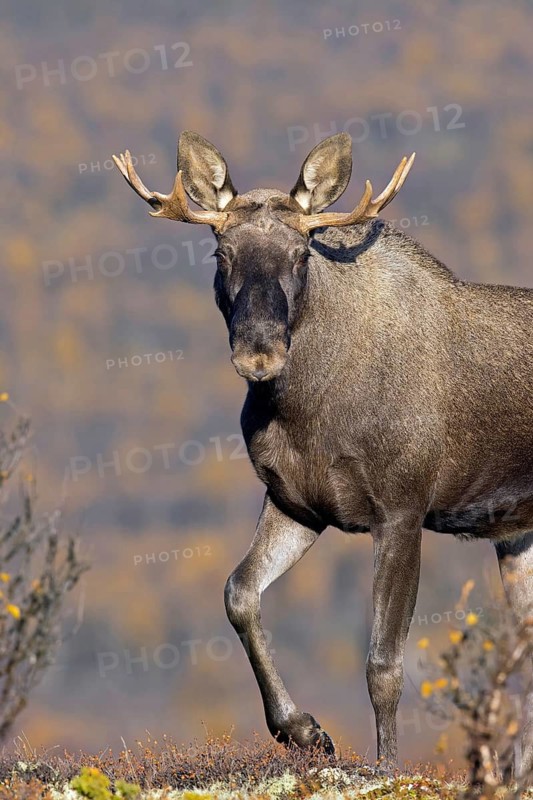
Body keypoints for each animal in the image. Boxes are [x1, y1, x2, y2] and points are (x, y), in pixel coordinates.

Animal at [113, 131, 533, 778]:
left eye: (300, 255)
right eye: (221, 254)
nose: (259, 353)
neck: (306, 412)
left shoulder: (403, 510)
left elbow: (383, 664)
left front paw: (387, 767)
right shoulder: (297, 505)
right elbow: (239, 594)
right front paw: (304, 730)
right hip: (516, 536)